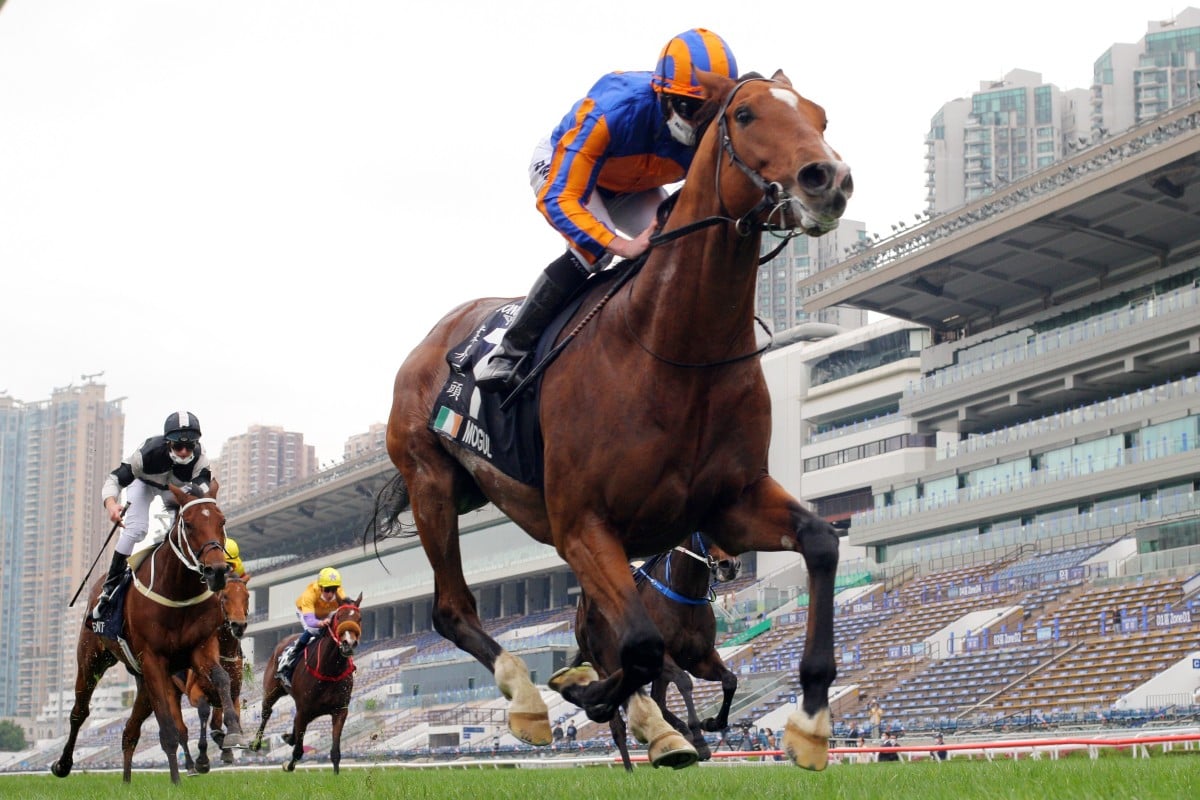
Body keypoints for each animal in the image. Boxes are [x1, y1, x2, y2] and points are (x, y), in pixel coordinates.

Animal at [171, 573, 250, 772]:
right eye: (224, 597)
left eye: (247, 596)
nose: (238, 625)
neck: (223, 653)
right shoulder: (195, 692)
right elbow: (204, 712)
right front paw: (202, 758)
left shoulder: (233, 693)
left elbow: (227, 717)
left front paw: (230, 742)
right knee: (181, 729)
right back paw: (191, 765)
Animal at [250, 597, 362, 772]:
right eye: (339, 617)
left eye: (359, 618)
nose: (349, 643)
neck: (330, 670)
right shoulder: (304, 708)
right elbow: (298, 751)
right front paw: (288, 765)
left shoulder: (340, 710)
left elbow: (335, 752)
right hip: (272, 690)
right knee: (266, 712)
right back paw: (256, 744)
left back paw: (288, 737)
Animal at [369, 67, 849, 767]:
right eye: (747, 115)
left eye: (820, 115)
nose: (828, 178)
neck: (674, 347)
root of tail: (434, 337)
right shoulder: (583, 523)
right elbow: (642, 648)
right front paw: (590, 696)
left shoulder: (729, 504)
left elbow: (819, 540)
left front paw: (810, 721)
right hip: (429, 478)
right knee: (452, 610)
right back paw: (529, 698)